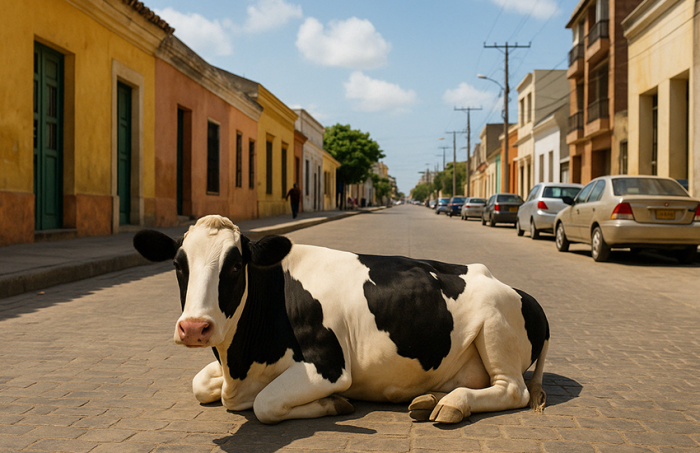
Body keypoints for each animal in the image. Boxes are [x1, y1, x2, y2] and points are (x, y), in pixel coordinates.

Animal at [133, 215, 549, 425]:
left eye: (236, 266)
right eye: (178, 265)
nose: (194, 327)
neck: (239, 359)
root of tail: (506, 283)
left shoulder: (329, 367)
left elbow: (265, 405)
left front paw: (334, 404)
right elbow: (200, 384)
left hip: (496, 326)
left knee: (511, 390)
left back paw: (452, 405)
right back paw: (429, 399)